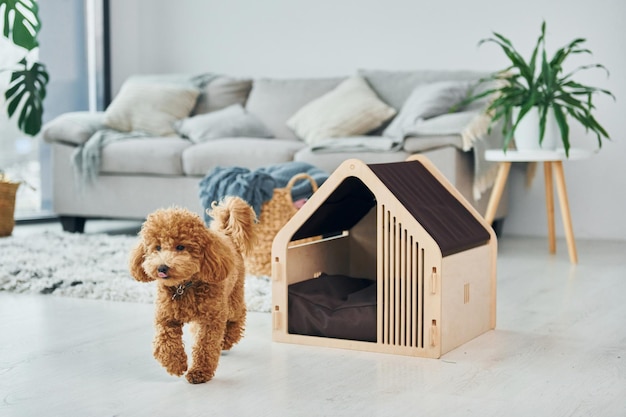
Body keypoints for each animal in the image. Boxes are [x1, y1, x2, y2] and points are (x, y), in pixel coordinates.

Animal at [129, 197, 256, 382]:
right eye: (157, 247)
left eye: (181, 247)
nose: (162, 267)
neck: (184, 286)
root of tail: (226, 235)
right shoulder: (165, 317)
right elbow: (165, 340)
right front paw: (175, 364)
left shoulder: (212, 319)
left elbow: (205, 346)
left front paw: (199, 372)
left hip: (232, 299)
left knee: (239, 314)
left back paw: (227, 339)